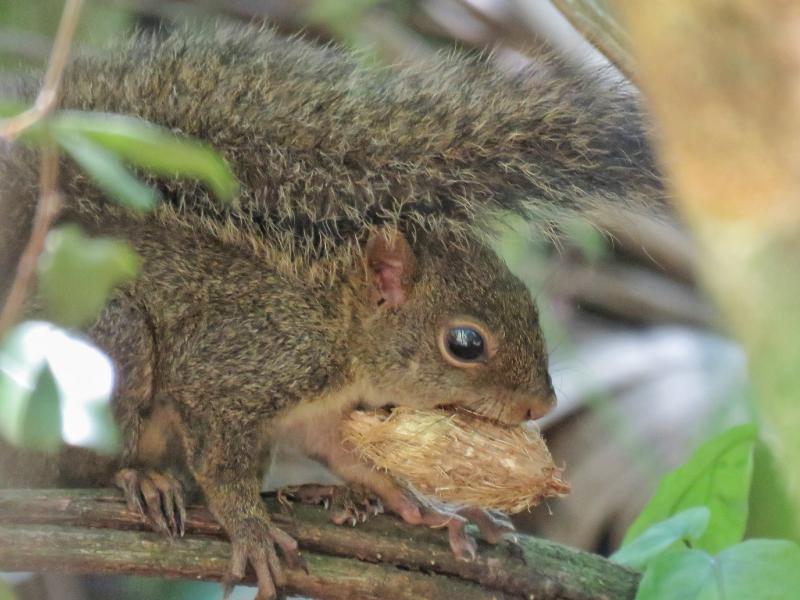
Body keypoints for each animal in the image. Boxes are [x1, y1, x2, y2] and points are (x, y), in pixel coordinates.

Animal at [0, 24, 664, 600]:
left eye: (529, 302)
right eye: (466, 343)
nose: (541, 404)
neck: (341, 328)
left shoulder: (319, 414)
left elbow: (350, 455)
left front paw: (426, 510)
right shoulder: (240, 366)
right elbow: (219, 458)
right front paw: (250, 529)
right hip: (110, 349)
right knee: (82, 460)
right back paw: (139, 479)